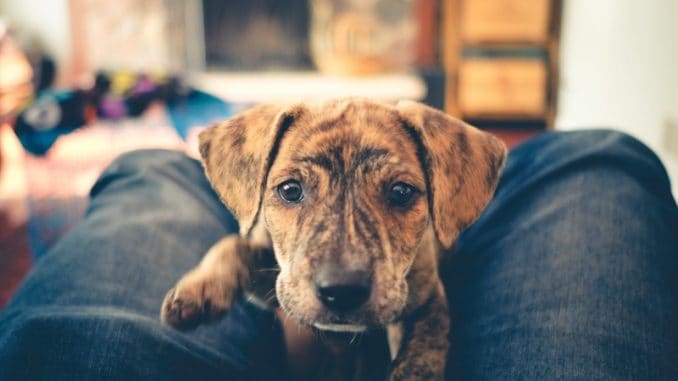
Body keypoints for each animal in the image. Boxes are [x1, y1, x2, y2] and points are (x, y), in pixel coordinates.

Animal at [162, 99, 508, 378]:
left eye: (401, 192)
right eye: (290, 190)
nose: (342, 291)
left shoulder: (426, 301)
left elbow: (418, 360)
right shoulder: (278, 281)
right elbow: (233, 246)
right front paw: (199, 289)